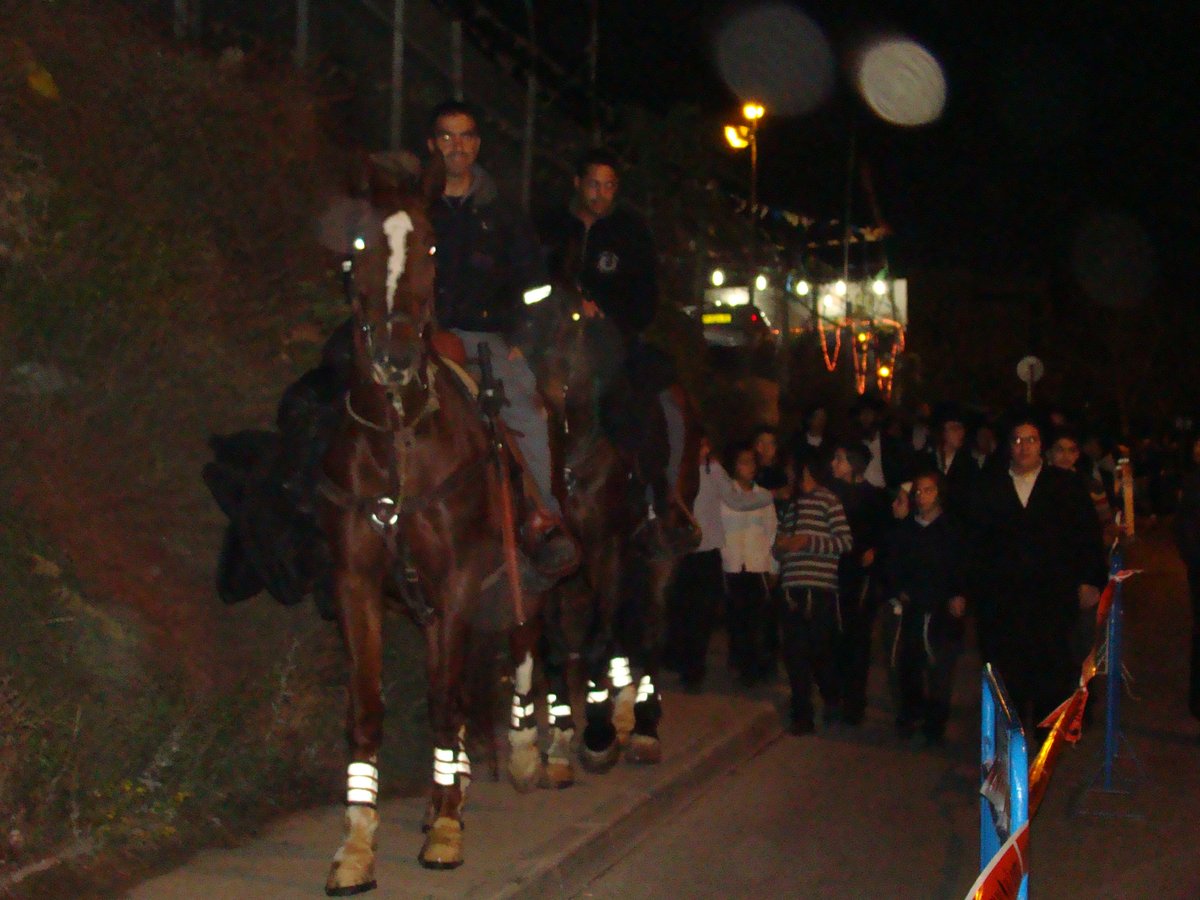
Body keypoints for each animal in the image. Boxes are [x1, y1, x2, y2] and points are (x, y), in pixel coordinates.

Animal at [319, 157, 544, 897]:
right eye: (359, 243)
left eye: (433, 246)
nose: (392, 355)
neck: (400, 436)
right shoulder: (358, 584)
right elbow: (369, 710)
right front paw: (358, 844)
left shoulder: (460, 580)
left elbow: (446, 704)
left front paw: (446, 830)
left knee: (524, 647)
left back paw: (526, 757)